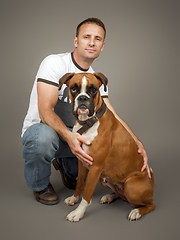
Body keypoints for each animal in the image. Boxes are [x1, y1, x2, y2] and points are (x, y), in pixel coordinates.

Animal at [58, 72, 155, 222]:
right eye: (73, 89)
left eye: (93, 90)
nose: (83, 98)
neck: (89, 122)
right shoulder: (82, 161)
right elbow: (80, 184)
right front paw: (74, 199)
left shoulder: (95, 167)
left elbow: (87, 193)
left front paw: (78, 213)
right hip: (106, 179)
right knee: (122, 196)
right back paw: (110, 196)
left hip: (130, 185)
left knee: (150, 205)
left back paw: (136, 212)